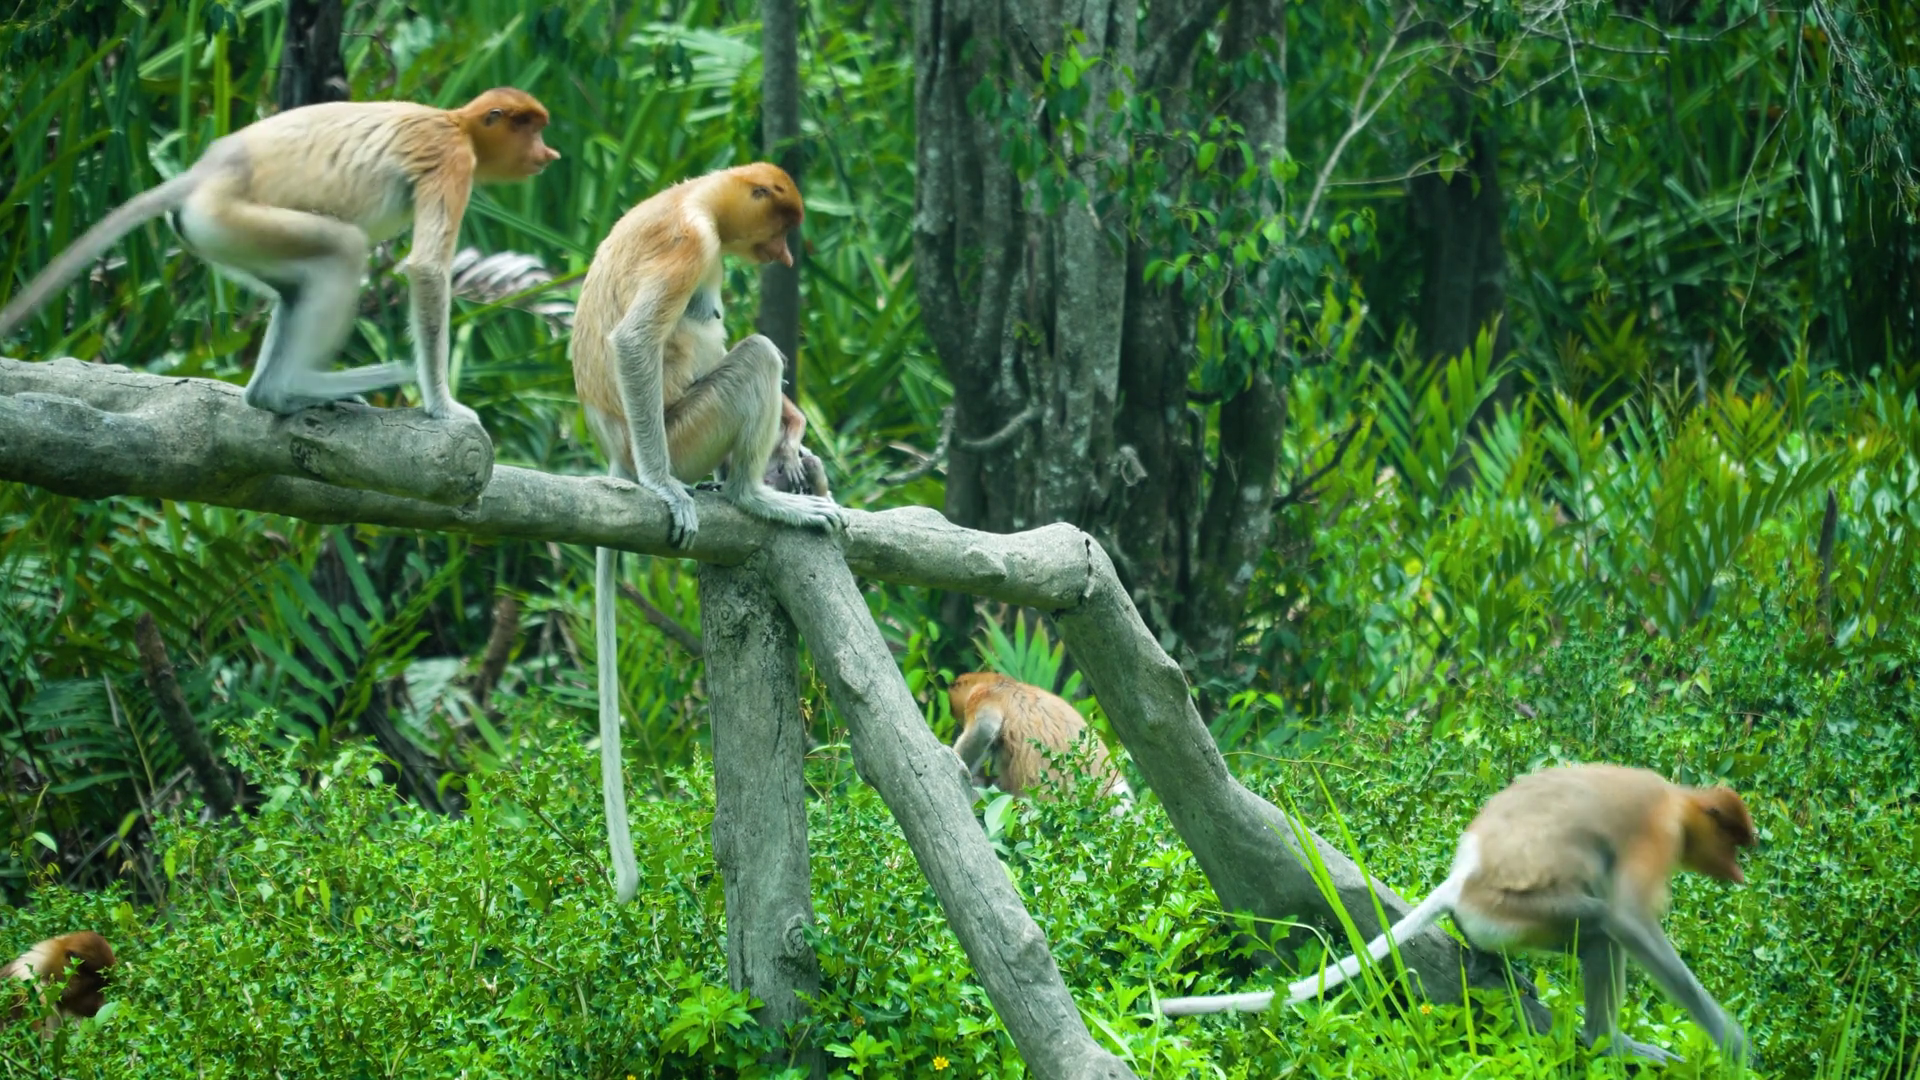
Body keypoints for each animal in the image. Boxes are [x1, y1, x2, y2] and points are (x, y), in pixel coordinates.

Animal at [0, 88, 560, 421]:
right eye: (530, 127)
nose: (549, 155)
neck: (457, 122)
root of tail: (207, 172)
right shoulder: (452, 160)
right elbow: (425, 269)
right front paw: (444, 407)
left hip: (222, 233)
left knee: (298, 287)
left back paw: (271, 392)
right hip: (232, 218)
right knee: (343, 251)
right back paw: (291, 389)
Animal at [570, 162, 844, 903]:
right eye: (782, 225)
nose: (784, 259)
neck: (696, 196)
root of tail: (617, 452)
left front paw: (796, 434)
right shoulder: (689, 243)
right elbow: (635, 341)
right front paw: (667, 490)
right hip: (685, 431)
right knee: (755, 358)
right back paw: (744, 492)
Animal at [1158, 764, 1754, 1066]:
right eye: (1734, 841)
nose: (1739, 872)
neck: (1677, 802)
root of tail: (1467, 875)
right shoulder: (1654, 835)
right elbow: (1628, 921)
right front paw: (1733, 1043)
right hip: (1519, 911)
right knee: (1600, 931)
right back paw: (1609, 1041)